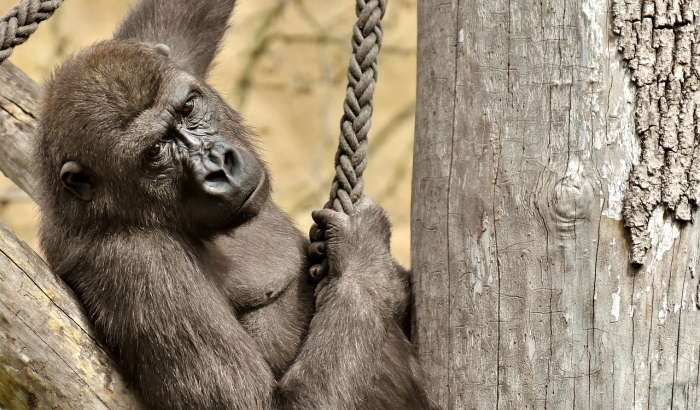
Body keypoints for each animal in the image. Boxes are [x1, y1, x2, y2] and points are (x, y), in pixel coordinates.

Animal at [32, 0, 438, 408]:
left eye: (187, 108)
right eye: (156, 151)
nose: (219, 166)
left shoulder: (161, 55)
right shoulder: (135, 258)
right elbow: (262, 403)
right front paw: (364, 254)